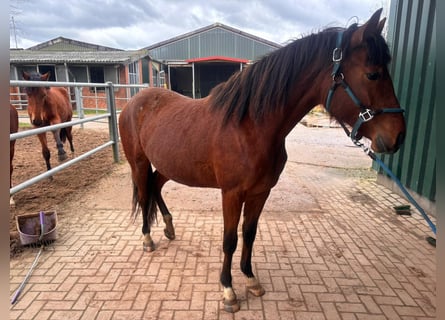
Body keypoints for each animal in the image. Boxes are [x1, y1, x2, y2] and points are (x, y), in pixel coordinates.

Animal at [119, 8, 406, 312]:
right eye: (373, 74)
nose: (399, 136)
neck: (249, 126)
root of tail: (135, 101)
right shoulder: (231, 194)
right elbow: (230, 240)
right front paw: (228, 291)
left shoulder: (260, 192)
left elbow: (249, 234)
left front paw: (250, 279)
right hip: (138, 162)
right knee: (144, 191)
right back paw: (148, 238)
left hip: (168, 165)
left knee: (155, 186)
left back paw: (169, 227)